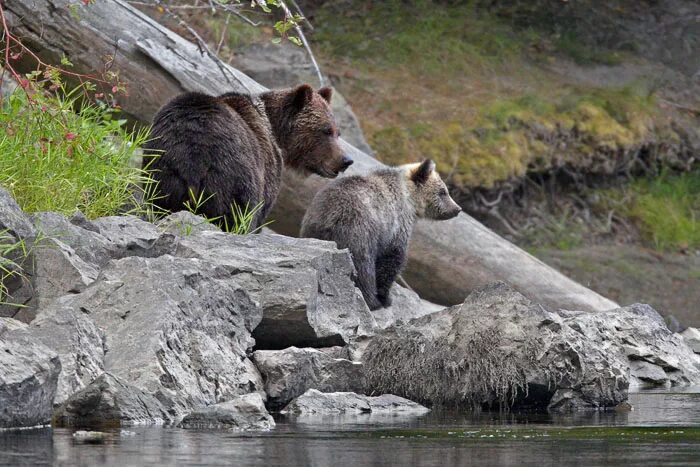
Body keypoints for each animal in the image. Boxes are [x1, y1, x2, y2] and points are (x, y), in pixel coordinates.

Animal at [143, 85, 352, 231]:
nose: (346, 160)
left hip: (163, 172)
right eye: (326, 130)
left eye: (338, 132)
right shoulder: (268, 168)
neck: (274, 130)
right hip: (234, 180)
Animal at [300, 161, 460, 310]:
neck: (409, 198)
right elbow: (392, 260)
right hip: (359, 231)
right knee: (363, 267)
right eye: (443, 192)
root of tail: (329, 218)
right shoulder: (396, 225)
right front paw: (386, 298)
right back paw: (372, 301)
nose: (457, 209)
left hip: (312, 228)